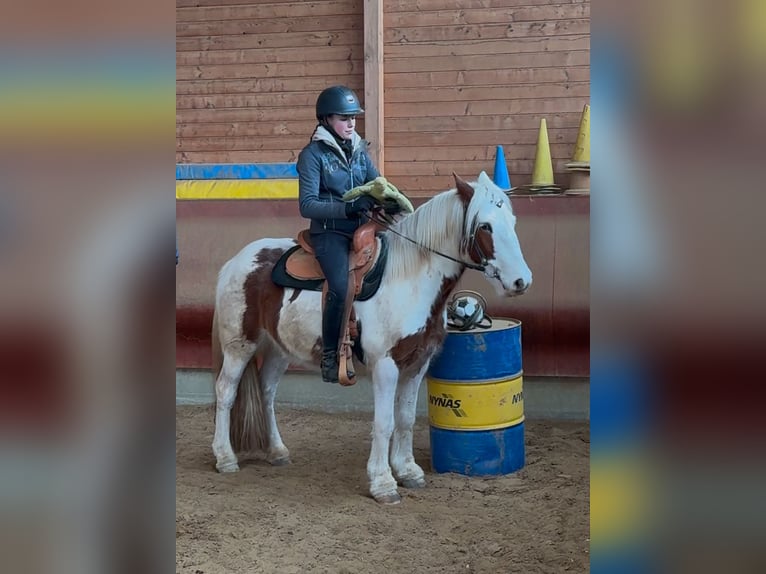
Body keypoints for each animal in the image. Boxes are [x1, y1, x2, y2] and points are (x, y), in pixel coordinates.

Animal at [210, 171, 536, 504]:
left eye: (512, 220)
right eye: (485, 226)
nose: (521, 281)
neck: (409, 280)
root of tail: (236, 261)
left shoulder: (417, 364)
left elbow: (405, 418)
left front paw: (407, 471)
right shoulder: (385, 365)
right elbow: (384, 422)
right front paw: (382, 482)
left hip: (277, 349)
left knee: (267, 392)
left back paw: (277, 451)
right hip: (240, 345)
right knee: (226, 392)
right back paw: (225, 457)